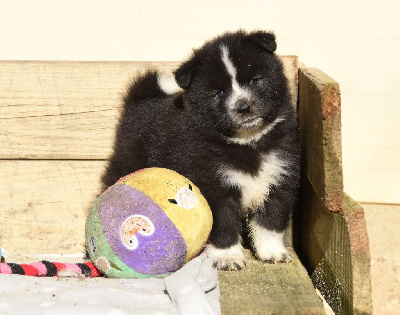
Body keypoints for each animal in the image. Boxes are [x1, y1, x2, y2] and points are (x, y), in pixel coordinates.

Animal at [102, 30, 300, 272]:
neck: (246, 143)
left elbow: (270, 222)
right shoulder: (214, 186)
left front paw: (272, 252)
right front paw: (227, 257)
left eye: (254, 81)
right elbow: (223, 224)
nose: (244, 107)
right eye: (219, 93)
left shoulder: (279, 178)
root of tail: (139, 104)